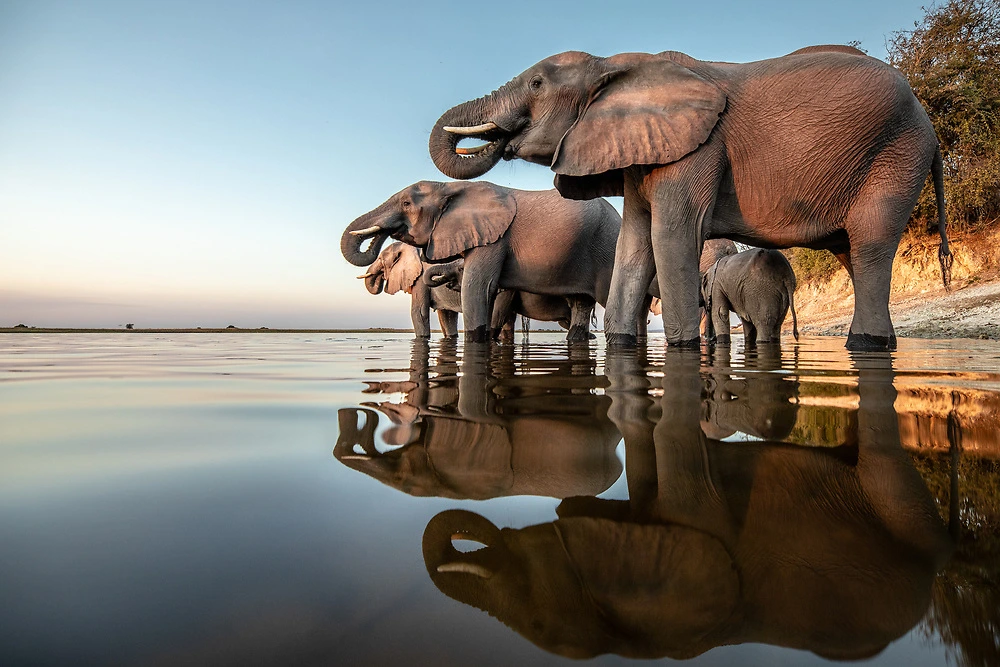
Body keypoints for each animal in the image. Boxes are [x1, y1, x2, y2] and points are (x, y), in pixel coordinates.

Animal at [340, 180, 652, 342]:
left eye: (406, 204)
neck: (450, 187)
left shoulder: (493, 240)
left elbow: (477, 290)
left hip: (606, 247)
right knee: (580, 305)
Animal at [428, 44, 952, 352]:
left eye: (537, 84)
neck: (612, 65)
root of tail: (928, 124)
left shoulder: (698, 149)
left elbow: (672, 235)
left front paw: (681, 350)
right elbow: (634, 246)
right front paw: (622, 345)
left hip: (895, 156)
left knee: (871, 247)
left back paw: (867, 345)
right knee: (851, 253)